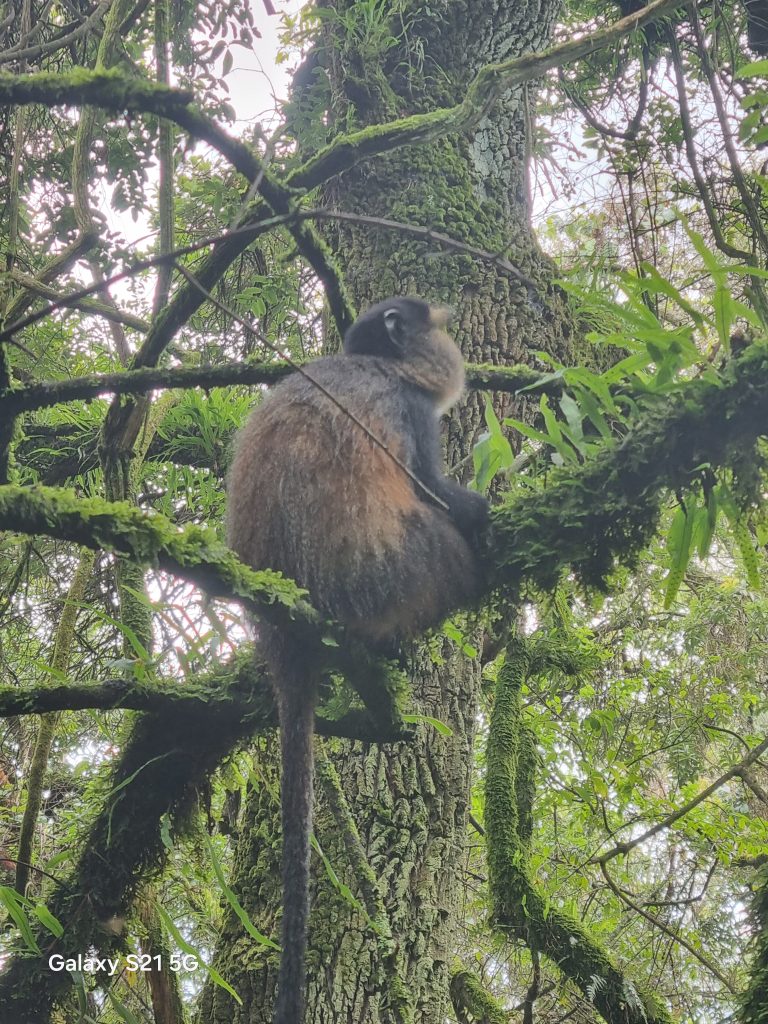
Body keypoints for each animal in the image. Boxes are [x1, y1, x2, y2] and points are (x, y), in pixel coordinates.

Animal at [226, 296, 488, 1024]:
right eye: (430, 322)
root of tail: (284, 631)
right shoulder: (409, 409)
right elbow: (437, 489)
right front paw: (483, 509)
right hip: (400, 569)